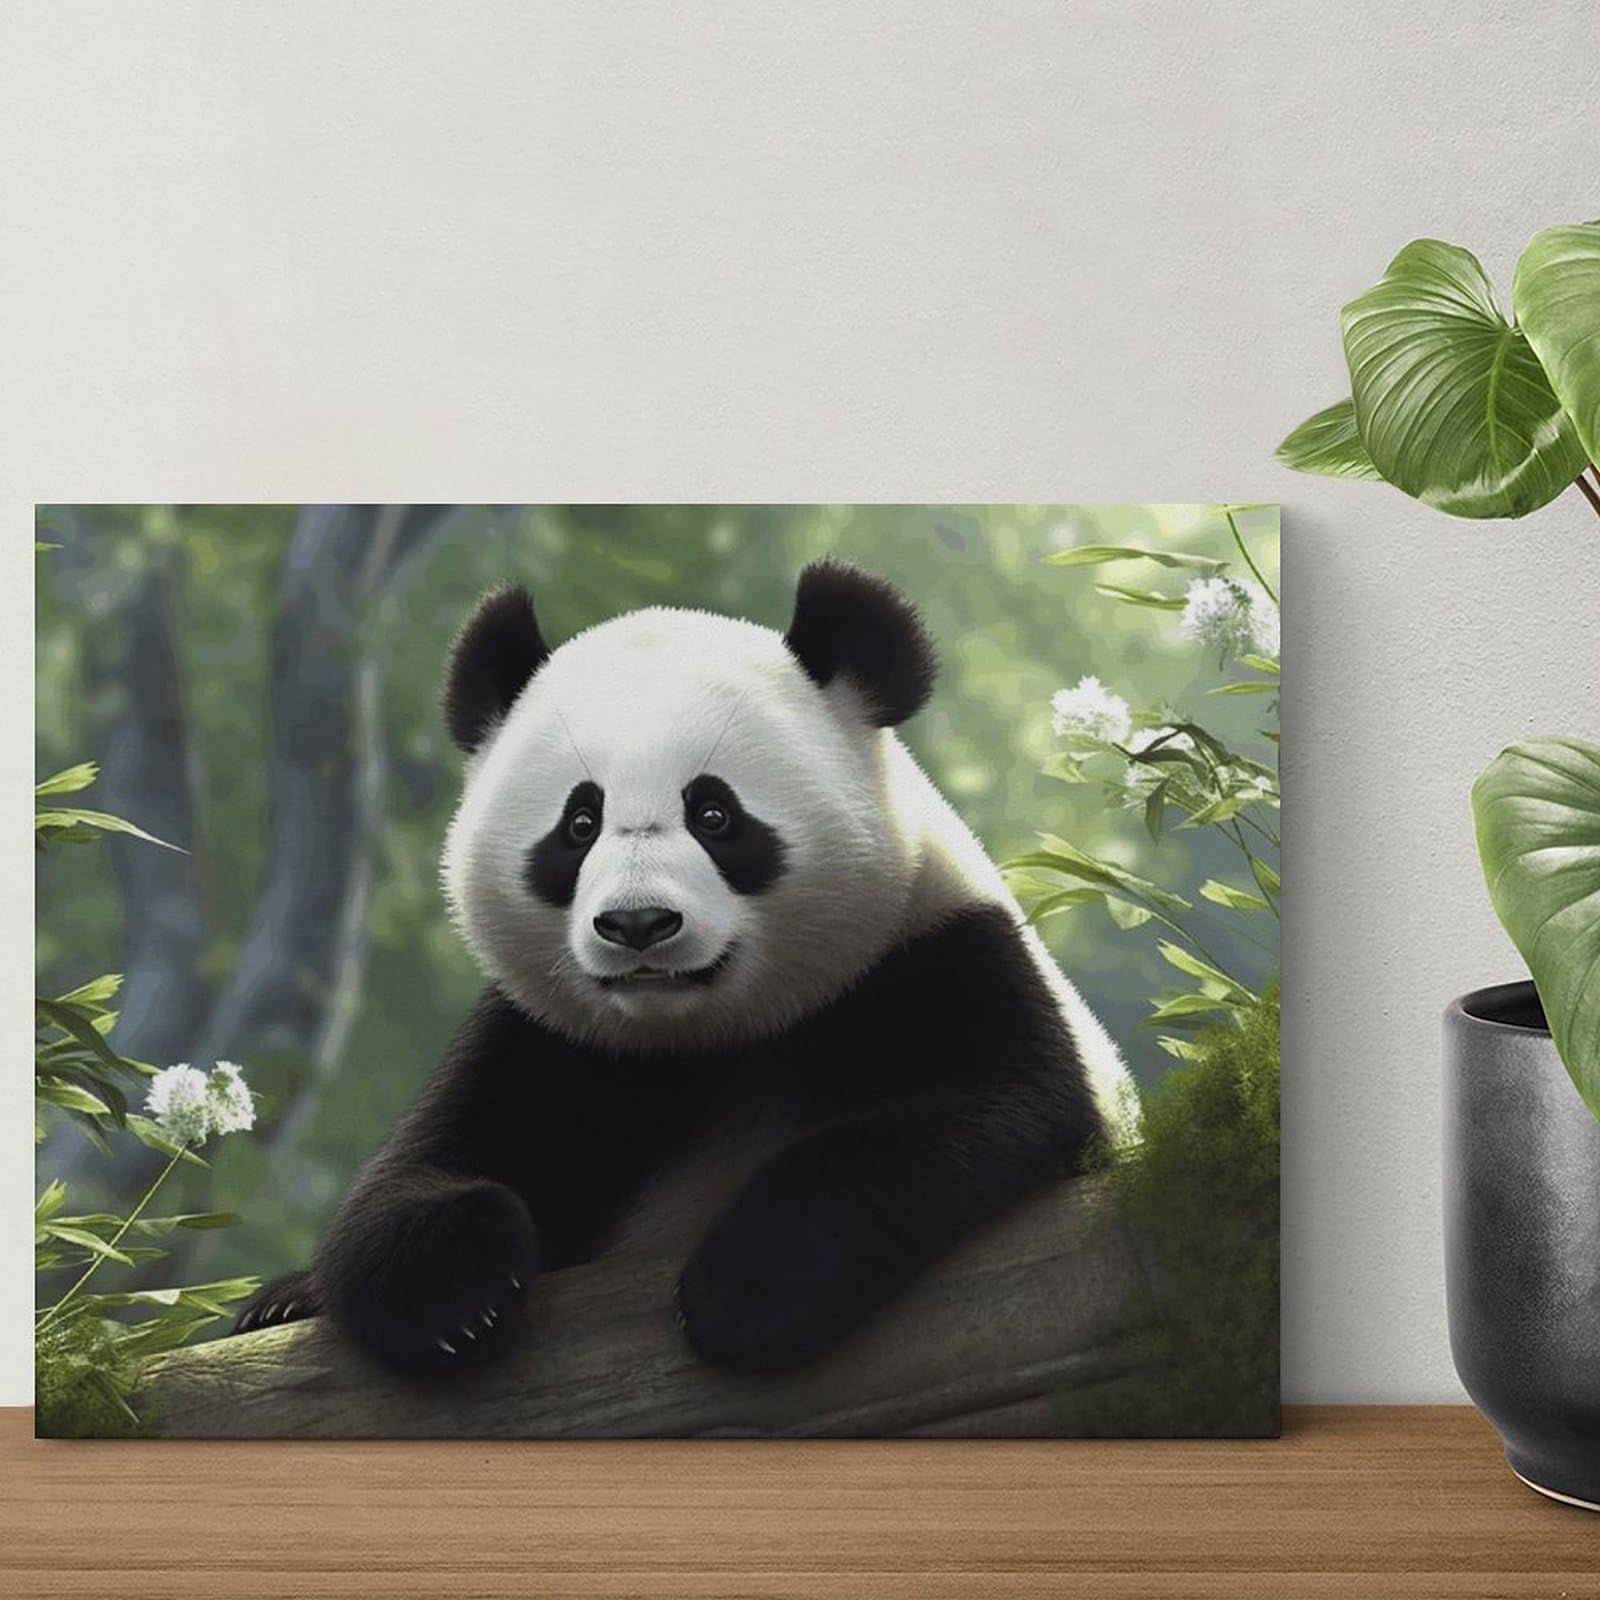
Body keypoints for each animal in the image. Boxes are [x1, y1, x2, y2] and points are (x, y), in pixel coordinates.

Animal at [234, 560, 1133, 1378]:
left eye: (714, 813)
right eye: (580, 823)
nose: (638, 924)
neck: (715, 1036)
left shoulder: (937, 955)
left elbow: (986, 1108)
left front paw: (748, 1289)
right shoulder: (552, 1041)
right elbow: (419, 1171)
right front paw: (451, 1297)